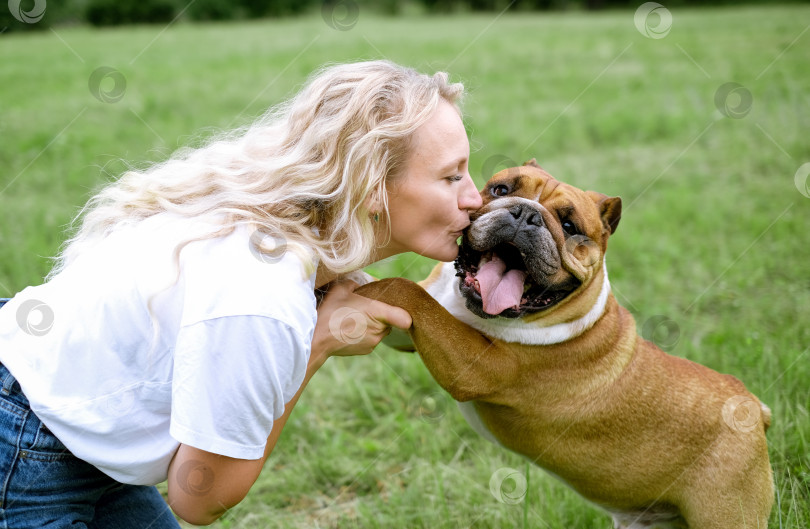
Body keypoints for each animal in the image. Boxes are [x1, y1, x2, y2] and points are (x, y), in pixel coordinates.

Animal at [356, 161, 772, 528]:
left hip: (725, 513)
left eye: (570, 226)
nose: (526, 213)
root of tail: (757, 409)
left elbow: (403, 289)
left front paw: (357, 296)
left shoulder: (474, 365)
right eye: (501, 190)